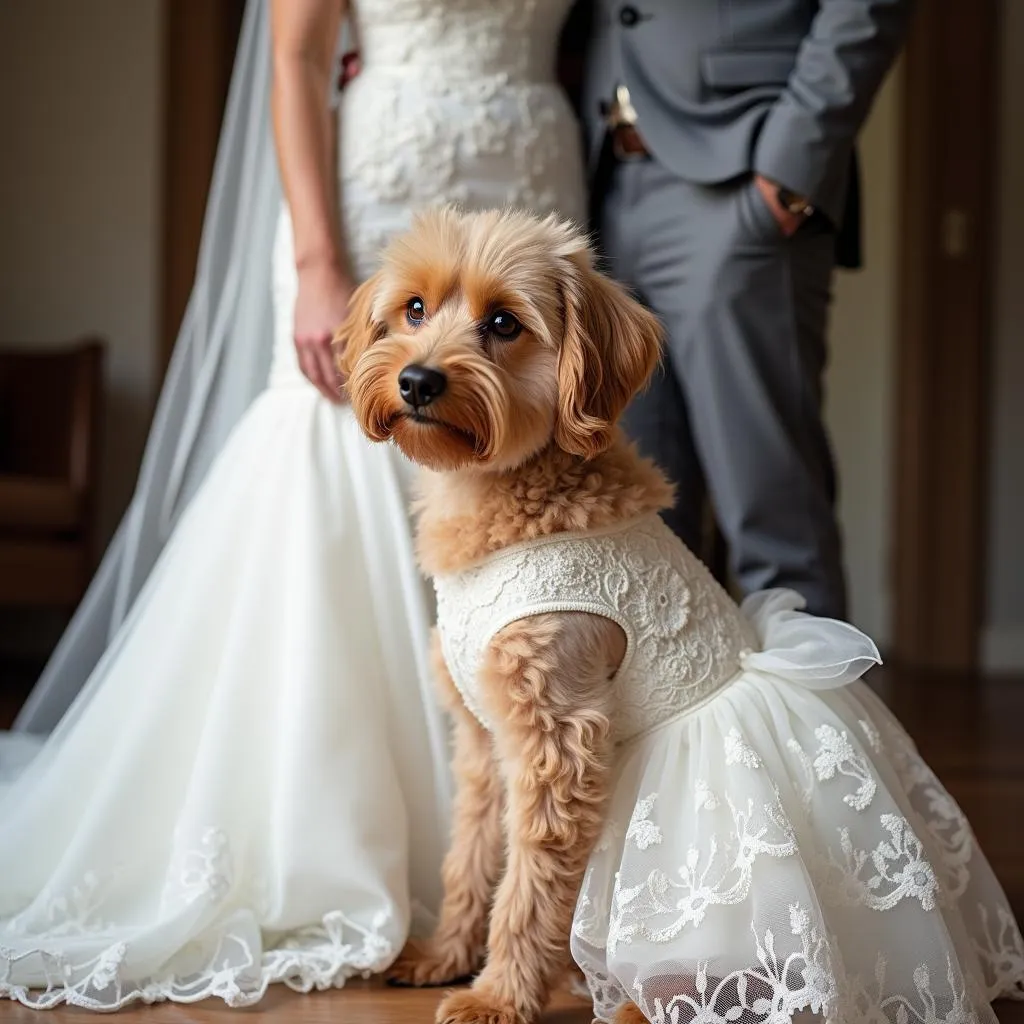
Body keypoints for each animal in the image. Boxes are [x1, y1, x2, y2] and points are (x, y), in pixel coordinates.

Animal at [335, 207, 667, 1024]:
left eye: (503, 323)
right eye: (414, 309)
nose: (418, 379)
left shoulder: (557, 742)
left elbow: (528, 884)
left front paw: (498, 994)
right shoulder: (484, 741)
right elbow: (470, 857)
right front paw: (447, 955)